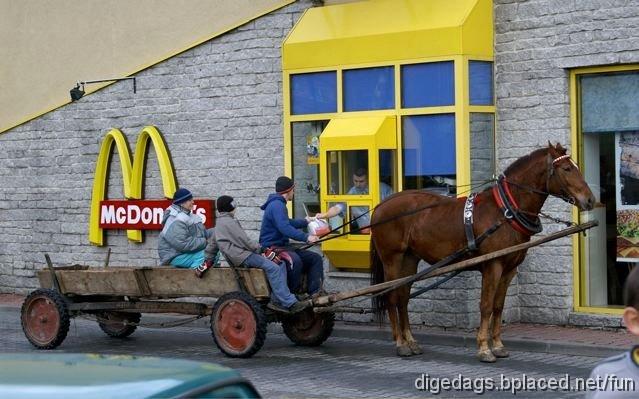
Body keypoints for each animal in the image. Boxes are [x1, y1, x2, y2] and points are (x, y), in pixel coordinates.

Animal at [372, 144, 596, 362]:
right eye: (567, 169)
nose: (590, 200)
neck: (504, 212)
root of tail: (381, 205)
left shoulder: (509, 269)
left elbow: (498, 306)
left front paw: (498, 345)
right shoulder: (492, 266)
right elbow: (486, 305)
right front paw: (484, 348)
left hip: (409, 258)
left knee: (402, 297)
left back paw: (411, 341)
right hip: (392, 259)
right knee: (391, 296)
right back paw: (401, 344)